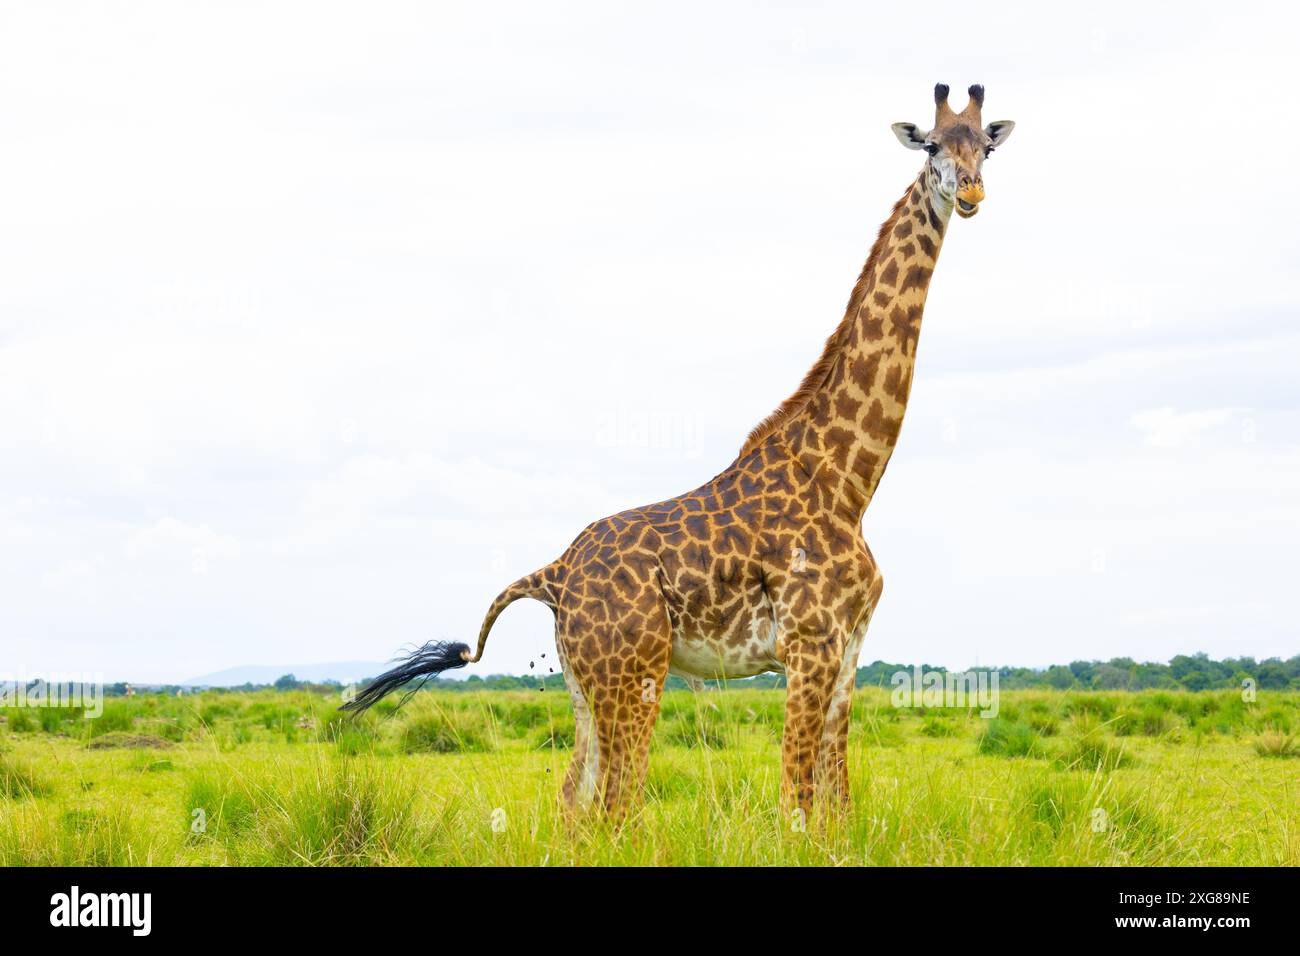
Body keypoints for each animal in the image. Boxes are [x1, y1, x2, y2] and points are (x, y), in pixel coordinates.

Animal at [348, 82, 1013, 816]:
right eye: (931, 145)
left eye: (985, 147)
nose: (972, 192)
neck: (849, 478)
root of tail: (554, 574)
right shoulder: (808, 647)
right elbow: (795, 804)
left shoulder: (850, 650)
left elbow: (837, 804)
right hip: (633, 672)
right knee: (616, 805)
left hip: (584, 682)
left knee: (573, 802)